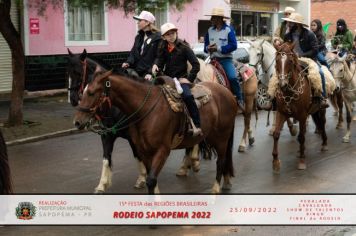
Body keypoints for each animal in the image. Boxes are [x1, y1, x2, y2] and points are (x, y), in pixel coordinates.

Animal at [73, 69, 236, 193]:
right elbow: (111, 160)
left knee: (221, 161)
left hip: (221, 138)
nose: (77, 122)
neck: (146, 108)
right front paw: (102, 185)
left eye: (92, 93)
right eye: (83, 91)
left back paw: (215, 188)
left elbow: (151, 178)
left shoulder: (162, 150)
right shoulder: (137, 147)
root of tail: (227, 92)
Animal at [272, 42, 328, 171]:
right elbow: (276, 134)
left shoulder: (302, 116)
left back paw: (324, 143)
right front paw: (276, 161)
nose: (282, 84)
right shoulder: (281, 113)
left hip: (320, 109)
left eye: (290, 61)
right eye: (277, 60)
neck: (289, 91)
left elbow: (302, 136)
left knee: (322, 122)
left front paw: (302, 160)